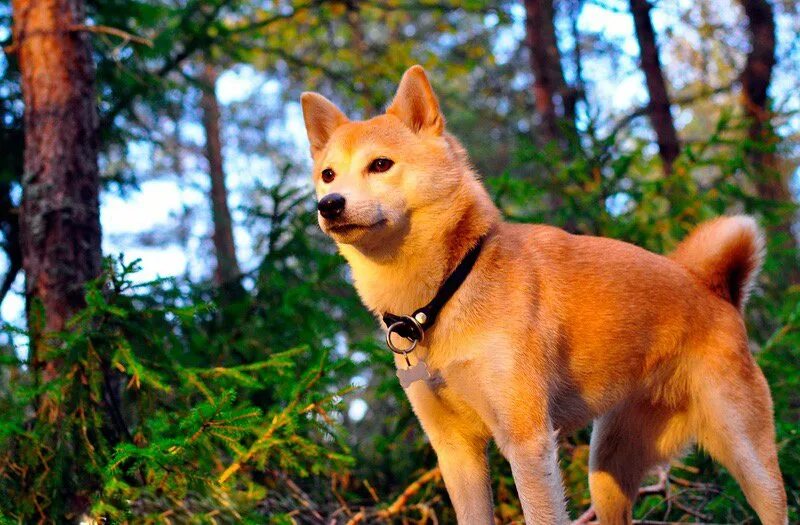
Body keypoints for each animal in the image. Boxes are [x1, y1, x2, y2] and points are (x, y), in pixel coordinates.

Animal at [302, 66, 788, 524]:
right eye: (328, 175)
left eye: (381, 164)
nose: (329, 204)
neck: (443, 292)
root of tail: (716, 291)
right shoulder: (456, 452)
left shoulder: (527, 440)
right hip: (607, 466)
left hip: (749, 457)